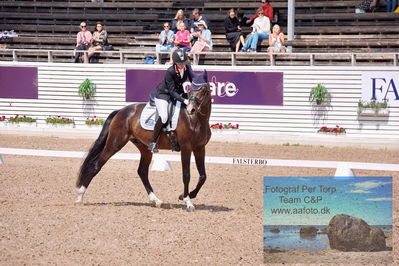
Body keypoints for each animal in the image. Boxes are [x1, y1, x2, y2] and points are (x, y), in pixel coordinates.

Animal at [76, 70, 212, 212]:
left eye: (204, 90)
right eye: (190, 90)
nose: (191, 109)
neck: (196, 120)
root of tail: (120, 111)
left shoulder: (200, 148)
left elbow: (203, 176)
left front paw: (187, 195)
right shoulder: (186, 148)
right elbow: (186, 175)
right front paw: (187, 201)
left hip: (144, 148)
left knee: (142, 171)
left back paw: (156, 200)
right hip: (114, 144)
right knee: (96, 165)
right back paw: (79, 197)